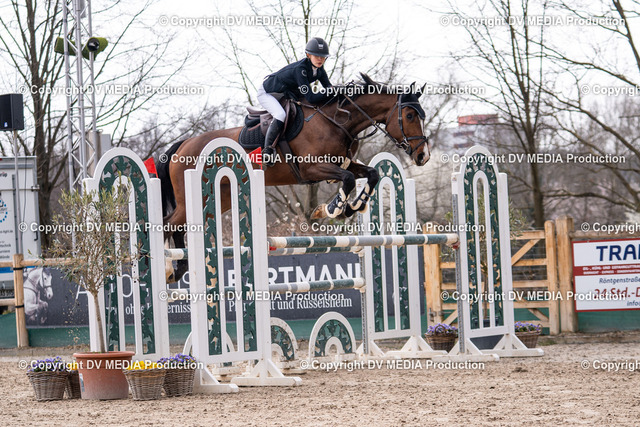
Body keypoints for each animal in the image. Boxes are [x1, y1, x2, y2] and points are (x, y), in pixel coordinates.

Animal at [158, 73, 430, 282]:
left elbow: (371, 174)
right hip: (191, 200)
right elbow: (348, 180)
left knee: (178, 226)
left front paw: (352, 207)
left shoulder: (343, 163)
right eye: (409, 116)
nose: (423, 156)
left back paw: (179, 268)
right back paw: (165, 267)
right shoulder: (312, 169)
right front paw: (332, 208)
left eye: (422, 116)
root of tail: (183, 144)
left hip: (216, 199)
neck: (337, 121)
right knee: (167, 223)